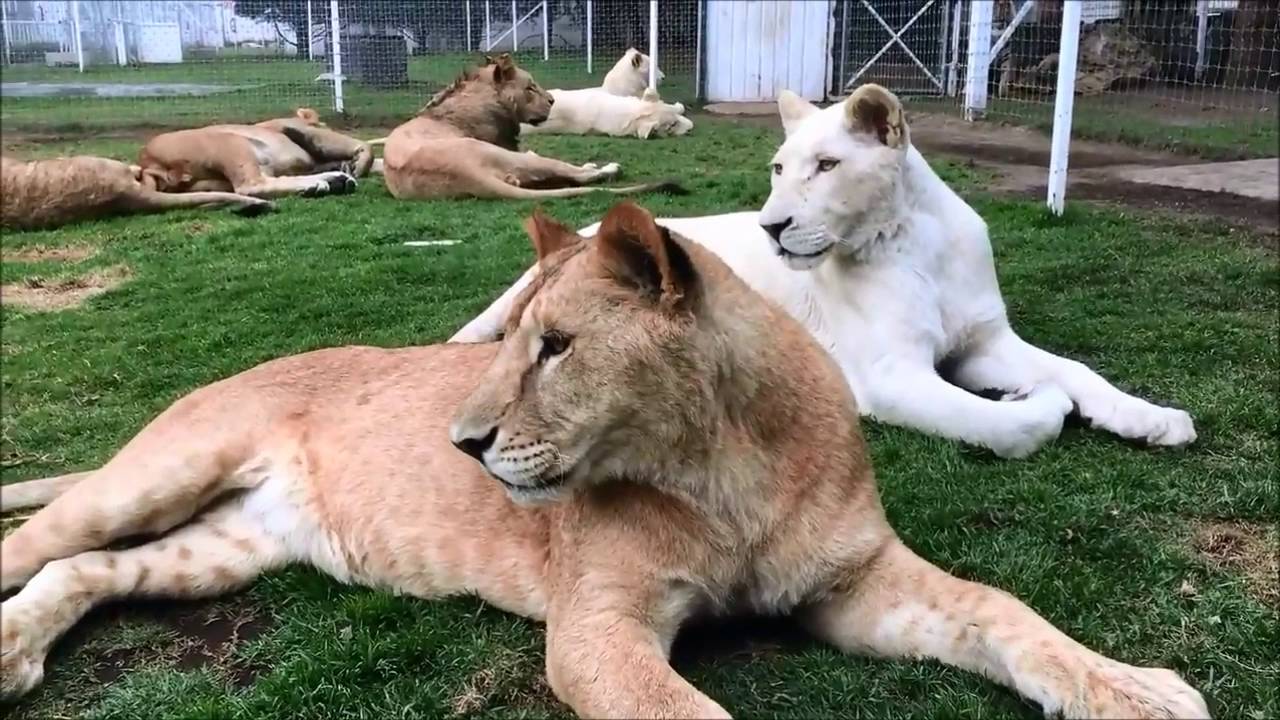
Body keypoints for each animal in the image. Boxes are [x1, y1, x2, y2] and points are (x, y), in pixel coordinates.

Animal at [0, 201, 1206, 718]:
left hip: (231, 547)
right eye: (507, 340)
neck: (724, 472)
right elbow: (689, 716)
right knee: (42, 542)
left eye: (556, 347)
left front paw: (1133, 690)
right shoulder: (595, 630)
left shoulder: (854, 580)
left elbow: (1003, 611)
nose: (461, 444)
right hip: (159, 473)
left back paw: (18, 651)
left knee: (89, 571)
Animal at [136, 108, 371, 200]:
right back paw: (328, 182)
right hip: (230, 142)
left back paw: (329, 182)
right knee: (250, 185)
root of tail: (148, 161)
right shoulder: (308, 132)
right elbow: (362, 147)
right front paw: (357, 163)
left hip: (209, 183)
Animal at [379, 54, 682, 200]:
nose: (552, 100)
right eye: (531, 87)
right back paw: (606, 169)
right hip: (511, 156)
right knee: (573, 173)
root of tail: (466, 174)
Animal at [451, 84, 1196, 459]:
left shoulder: (986, 340)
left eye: (828, 165)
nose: (770, 227)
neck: (913, 242)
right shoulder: (890, 377)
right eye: (779, 168)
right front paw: (1030, 402)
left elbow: (1078, 370)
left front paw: (1152, 417)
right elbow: (1009, 427)